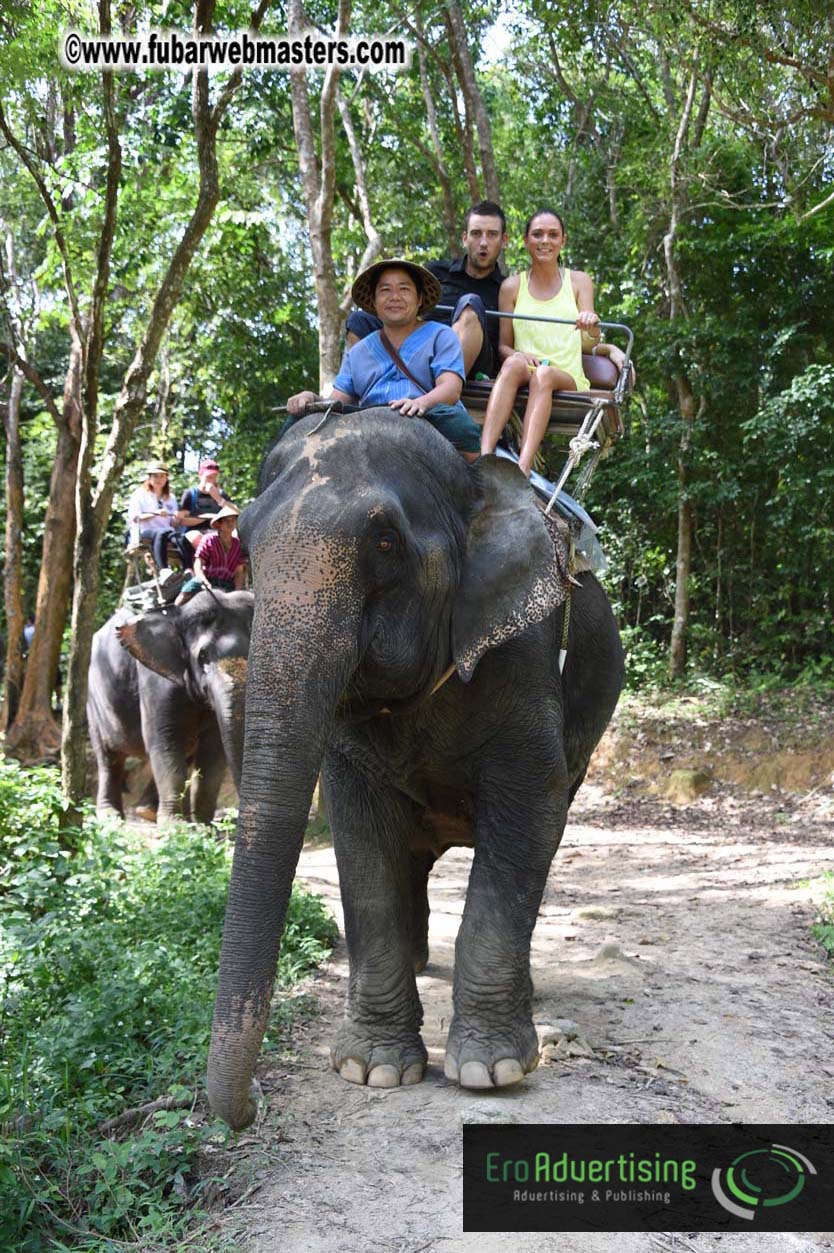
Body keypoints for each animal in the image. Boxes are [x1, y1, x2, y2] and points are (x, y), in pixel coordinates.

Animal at [87, 589, 254, 824]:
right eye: (202, 657)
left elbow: (214, 749)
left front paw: (202, 825)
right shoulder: (155, 678)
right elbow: (163, 737)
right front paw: (175, 825)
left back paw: (146, 811)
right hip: (94, 697)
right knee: (109, 757)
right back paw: (111, 816)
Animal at [206, 409, 624, 1130]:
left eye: (385, 542)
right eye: (249, 545)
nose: (250, 1105)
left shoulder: (527, 653)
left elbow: (531, 811)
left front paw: (490, 1071)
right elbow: (361, 836)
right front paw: (372, 1069)